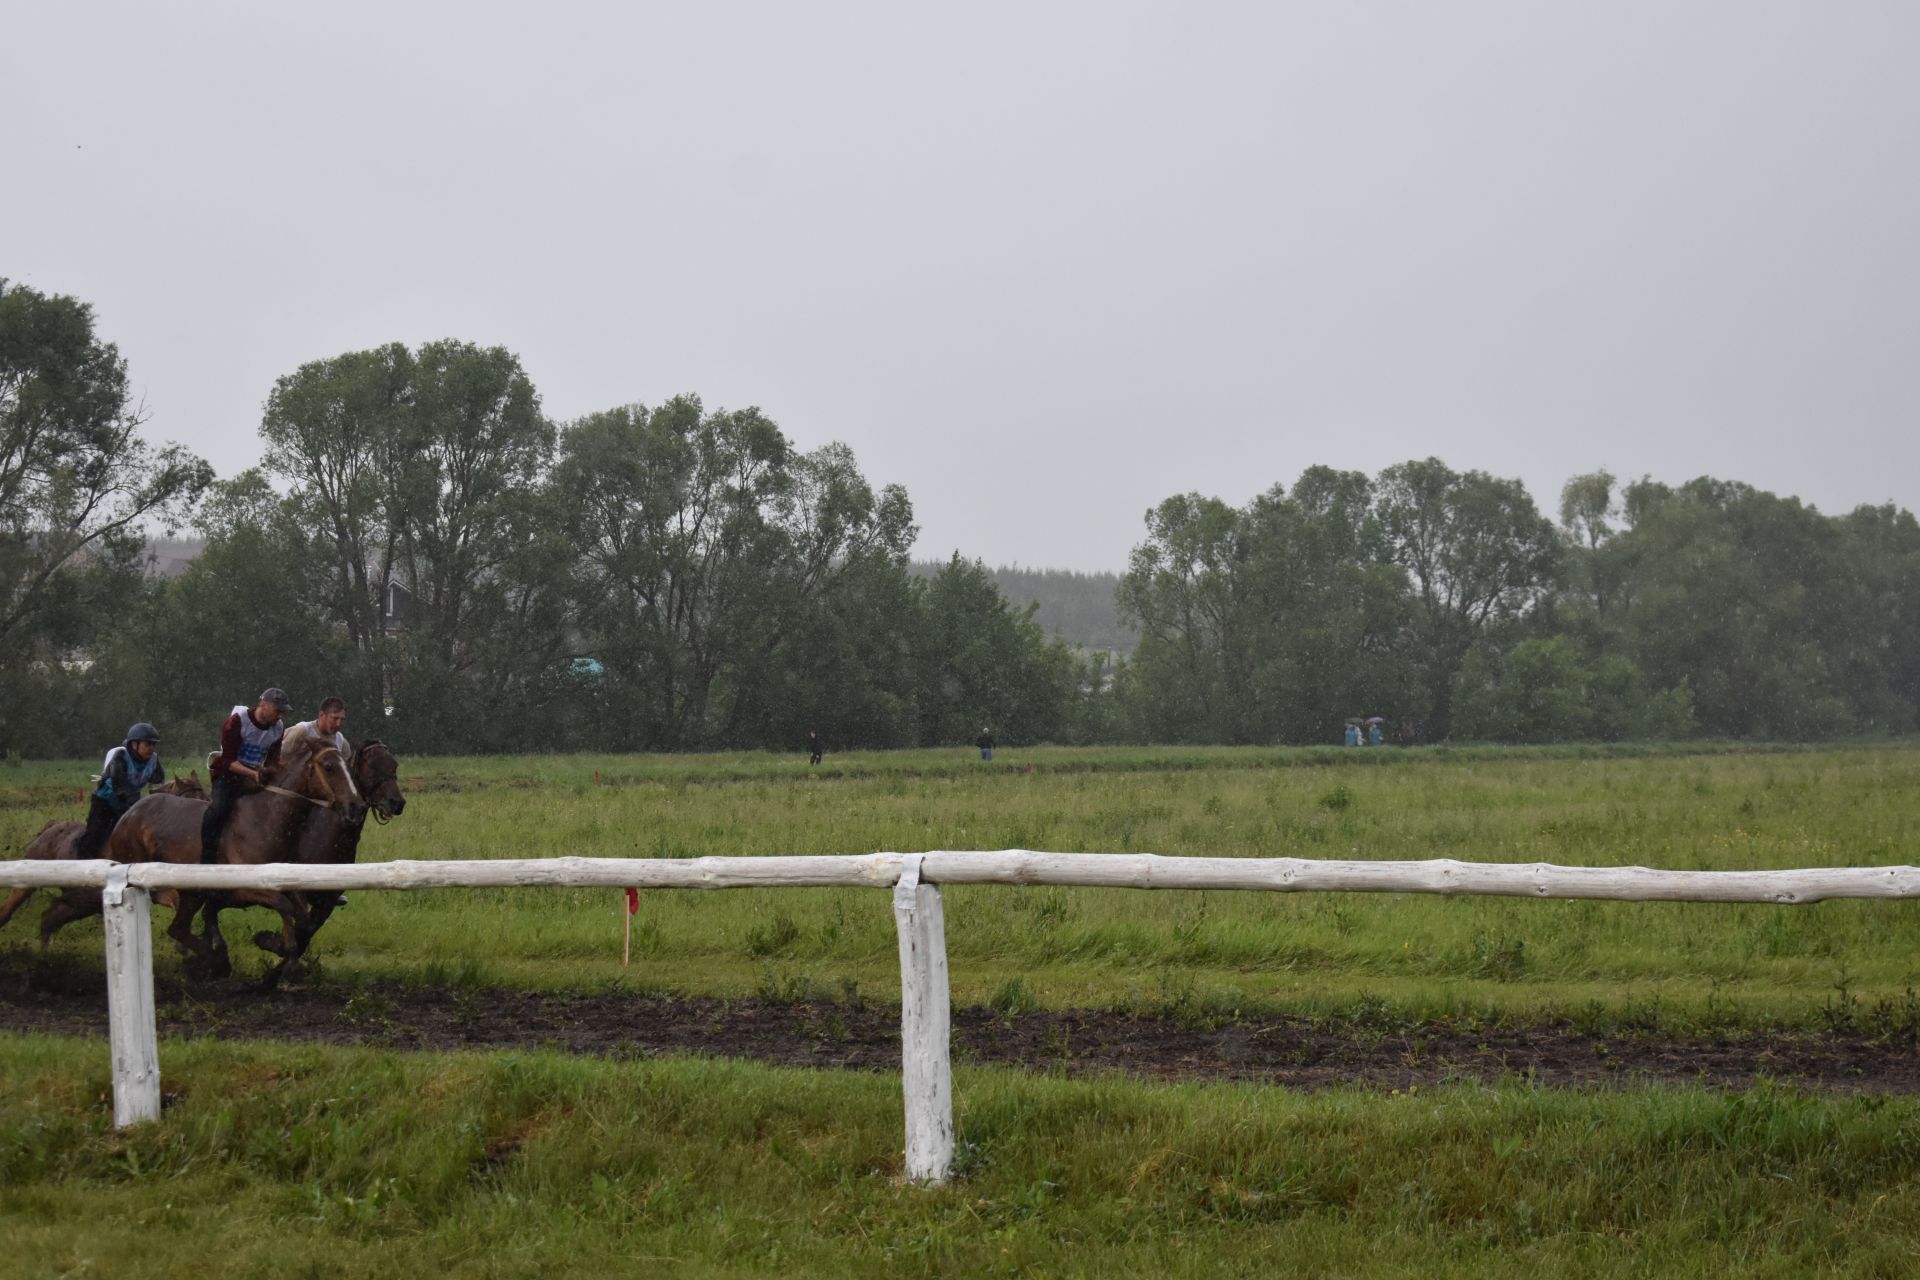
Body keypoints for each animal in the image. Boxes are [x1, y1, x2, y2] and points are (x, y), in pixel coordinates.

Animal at [0, 771, 210, 940]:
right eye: (188, 796)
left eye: (204, 795)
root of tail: (50, 827)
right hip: (26, 885)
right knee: (8, 913)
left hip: (76, 901)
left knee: (49, 919)